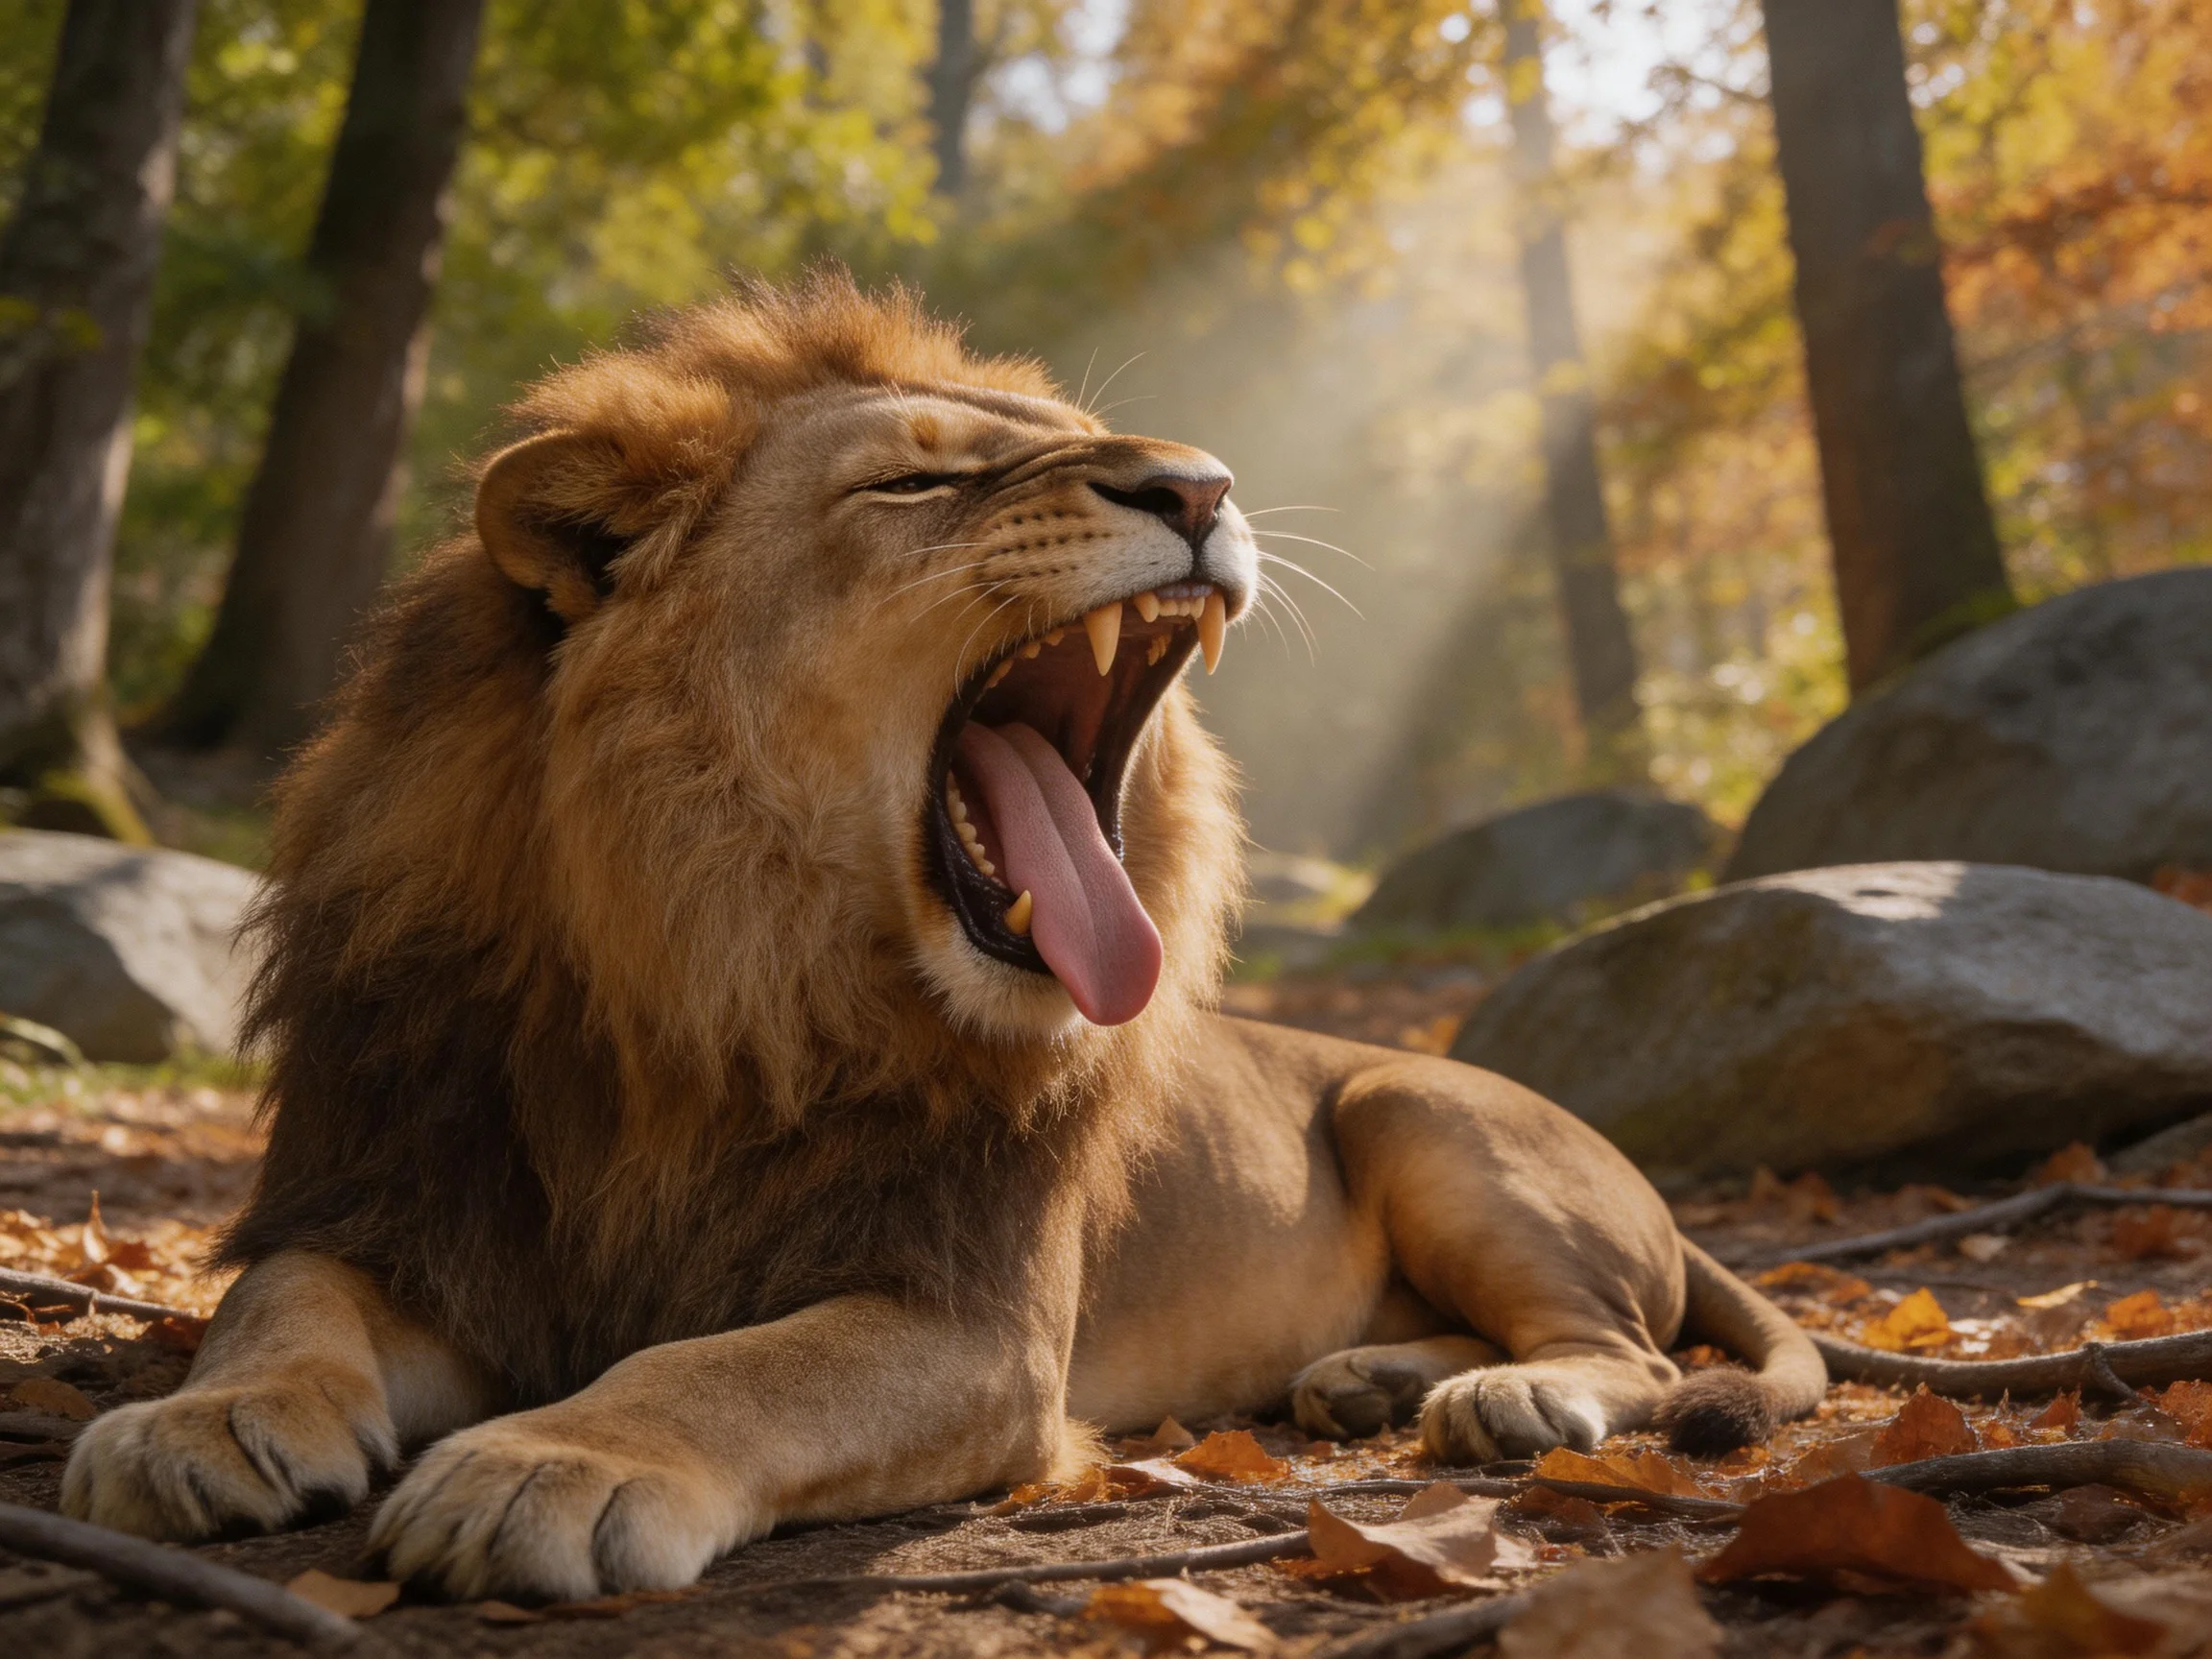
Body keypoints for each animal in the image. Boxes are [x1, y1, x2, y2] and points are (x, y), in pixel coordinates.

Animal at [62, 275, 1824, 1602]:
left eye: (1076, 448)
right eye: (915, 482)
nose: (1202, 483)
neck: (701, 986)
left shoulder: (972, 1325)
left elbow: (726, 1369)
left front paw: (549, 1460)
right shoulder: (407, 1201)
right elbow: (276, 1303)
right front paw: (195, 1427)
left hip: (1418, 1103)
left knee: (1631, 1348)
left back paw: (1504, 1392)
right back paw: (1366, 1377)